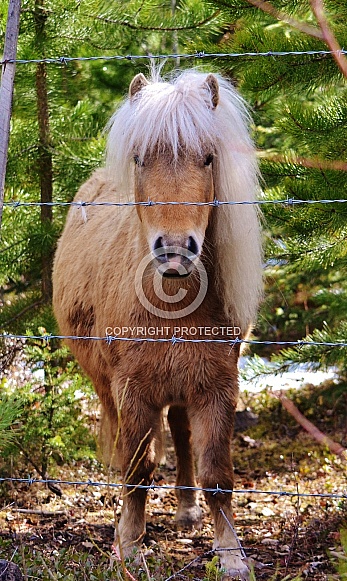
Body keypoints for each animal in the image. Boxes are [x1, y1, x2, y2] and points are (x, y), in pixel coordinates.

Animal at [53, 70, 262, 576]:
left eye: (208, 158)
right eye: (140, 159)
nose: (174, 251)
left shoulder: (217, 387)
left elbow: (216, 473)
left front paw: (231, 555)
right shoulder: (133, 390)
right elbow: (137, 467)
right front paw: (128, 545)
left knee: (183, 435)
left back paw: (186, 510)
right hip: (108, 384)